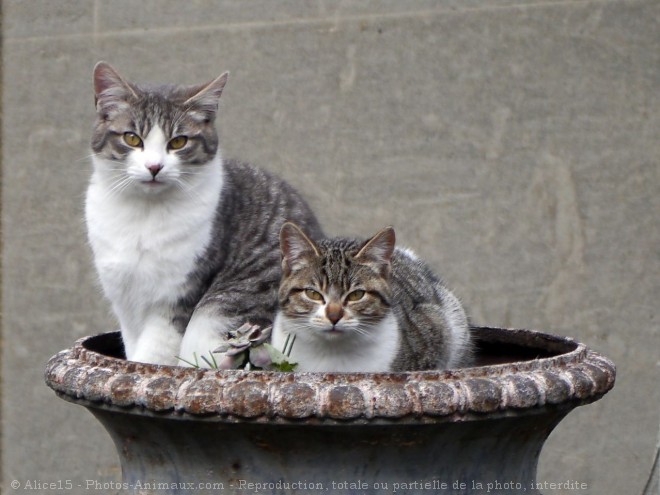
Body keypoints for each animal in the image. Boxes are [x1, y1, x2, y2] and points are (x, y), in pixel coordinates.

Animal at [86, 62, 324, 366]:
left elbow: (151, 355)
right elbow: (132, 350)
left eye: (178, 142)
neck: (144, 214)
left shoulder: (178, 297)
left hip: (215, 318)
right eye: (131, 138)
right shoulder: (124, 301)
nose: (154, 166)